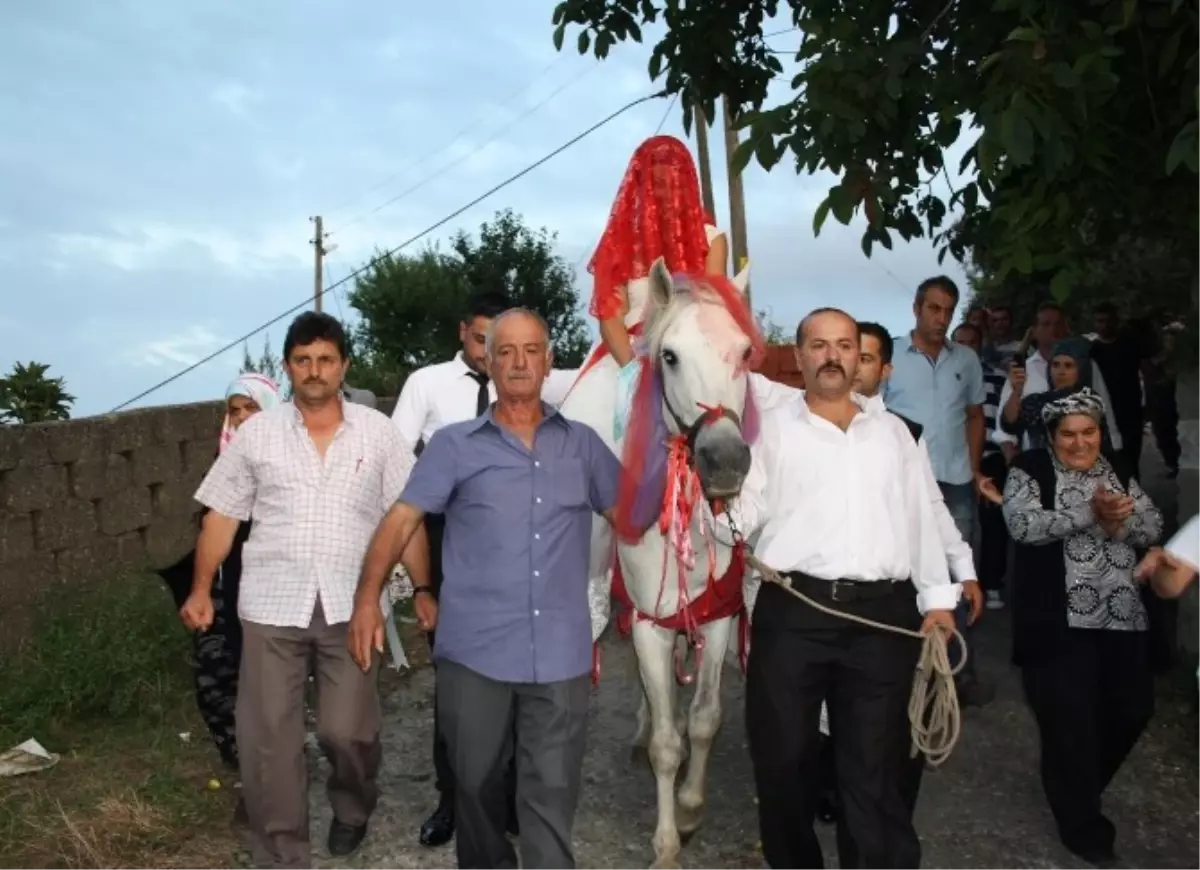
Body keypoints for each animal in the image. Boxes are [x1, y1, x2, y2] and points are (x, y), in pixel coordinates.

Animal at [559, 258, 748, 868]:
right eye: (670, 356)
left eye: (745, 353)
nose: (725, 459)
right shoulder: (649, 625)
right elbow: (668, 742)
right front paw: (666, 843)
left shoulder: (717, 616)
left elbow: (706, 718)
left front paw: (688, 806)